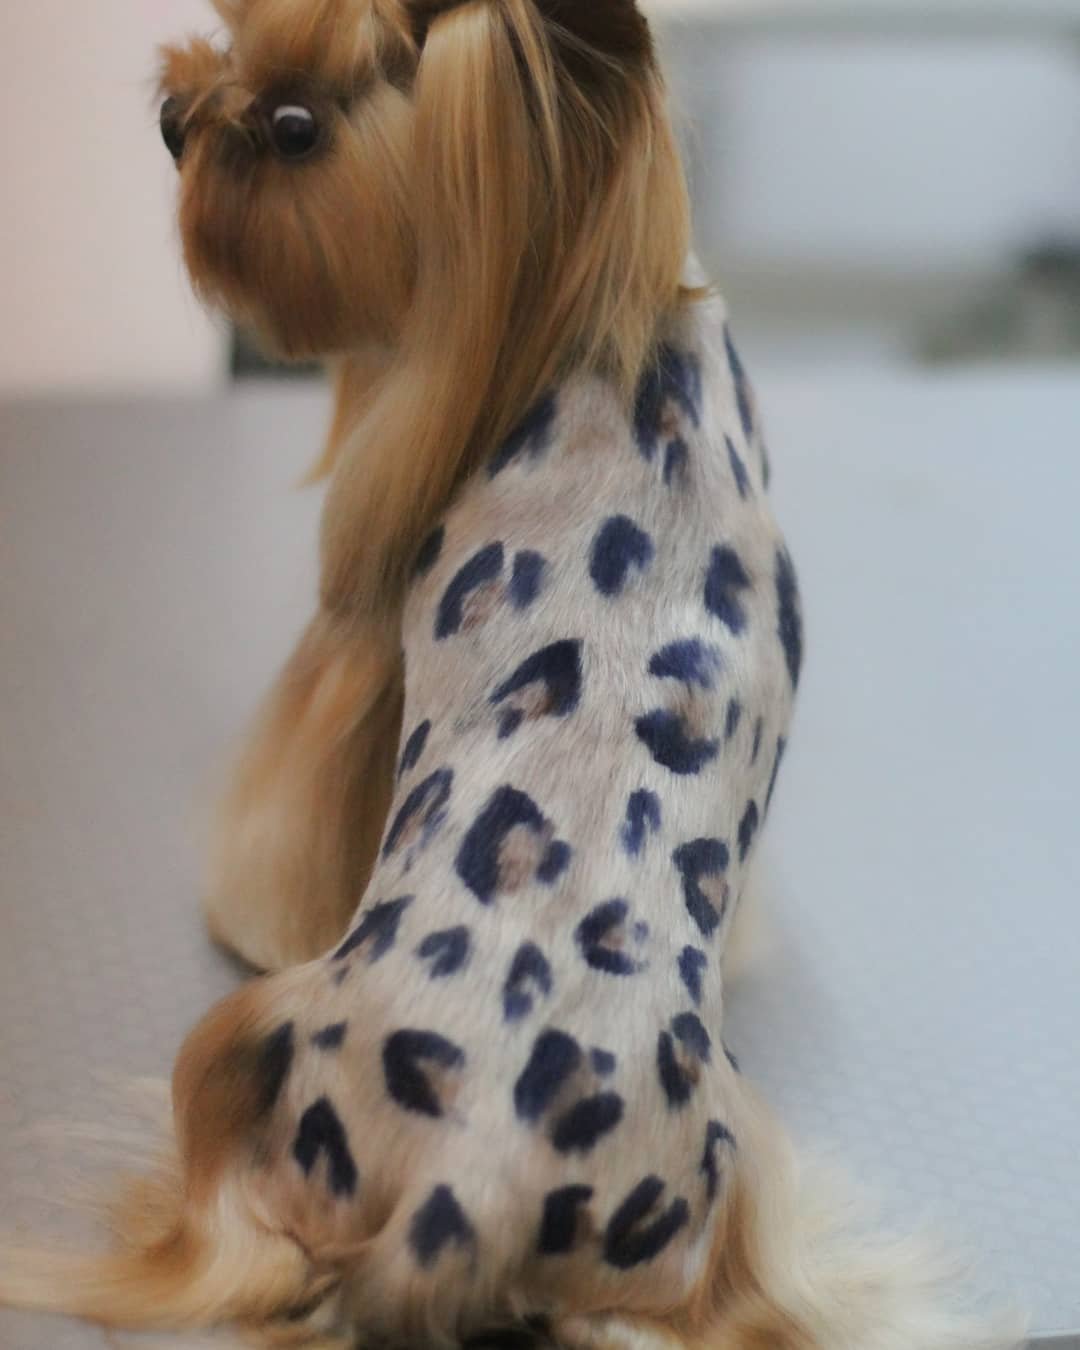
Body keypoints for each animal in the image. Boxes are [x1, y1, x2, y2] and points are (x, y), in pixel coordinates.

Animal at [0, 2, 1020, 1350]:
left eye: (294, 126)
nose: (174, 113)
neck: (616, 333)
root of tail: (463, 1189)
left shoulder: (360, 656)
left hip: (256, 1040)